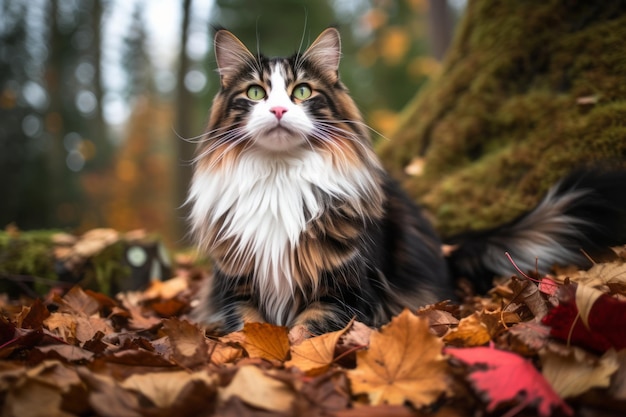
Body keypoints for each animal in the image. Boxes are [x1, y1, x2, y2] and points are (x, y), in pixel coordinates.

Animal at [188, 27, 624, 334]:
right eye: (256, 93)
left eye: (302, 91)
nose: (278, 109)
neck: (280, 178)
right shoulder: (237, 287)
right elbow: (248, 332)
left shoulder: (344, 292)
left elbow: (302, 336)